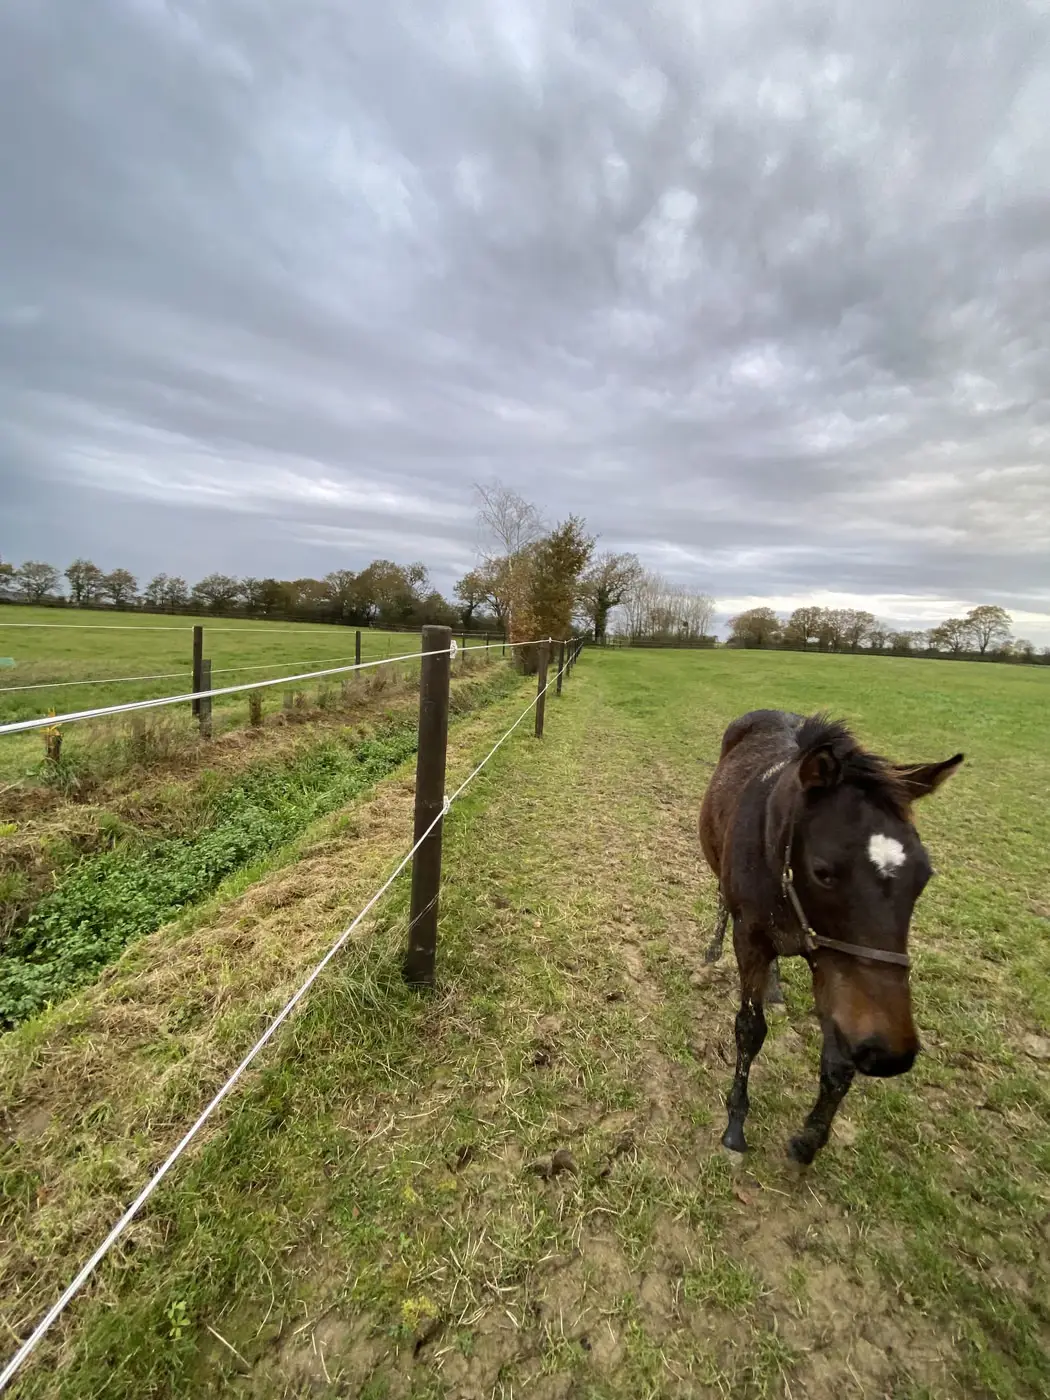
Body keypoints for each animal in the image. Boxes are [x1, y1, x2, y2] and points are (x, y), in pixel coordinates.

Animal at [699, 710, 963, 1164]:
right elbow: (749, 1030)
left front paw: (809, 1139)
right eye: (823, 871)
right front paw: (735, 1123)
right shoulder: (750, 940)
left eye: (924, 875)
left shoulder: (836, 968)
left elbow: (839, 1060)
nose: (889, 1053)